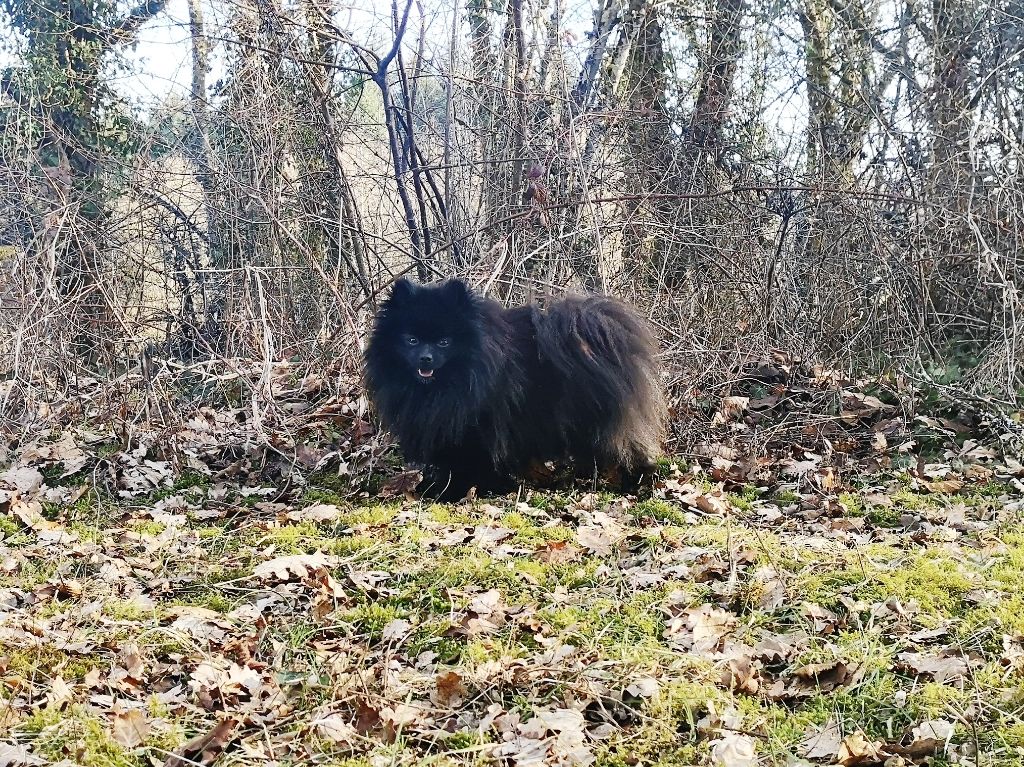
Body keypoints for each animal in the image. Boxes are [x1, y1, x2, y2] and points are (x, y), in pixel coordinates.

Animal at [364, 274, 667, 497]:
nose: (425, 358)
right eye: (412, 340)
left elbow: (468, 460)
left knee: (625, 449)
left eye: (444, 342)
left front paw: (458, 490)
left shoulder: (474, 425)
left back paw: (634, 484)